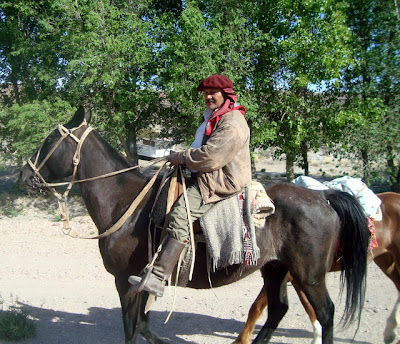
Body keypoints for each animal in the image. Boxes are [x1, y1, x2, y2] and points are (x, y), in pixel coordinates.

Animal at [18, 106, 368, 342]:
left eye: (49, 140)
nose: (24, 175)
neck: (124, 203)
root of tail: (324, 197)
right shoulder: (138, 282)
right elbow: (144, 327)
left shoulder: (124, 282)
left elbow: (133, 331)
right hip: (276, 268)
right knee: (278, 310)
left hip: (310, 276)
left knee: (325, 314)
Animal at [234, 192, 400, 342]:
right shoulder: (292, 277)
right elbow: (307, 308)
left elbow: (256, 307)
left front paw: (242, 340)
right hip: (386, 261)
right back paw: (390, 332)